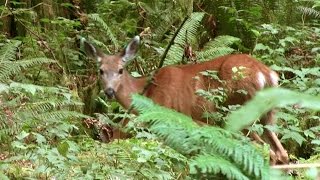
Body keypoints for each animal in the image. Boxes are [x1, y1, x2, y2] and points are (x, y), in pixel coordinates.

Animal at [81, 34, 288, 165]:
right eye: (101, 70)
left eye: (120, 70)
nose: (109, 91)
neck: (147, 92)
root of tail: (266, 74)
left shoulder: (167, 117)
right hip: (269, 115)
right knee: (281, 152)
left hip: (238, 110)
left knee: (265, 150)